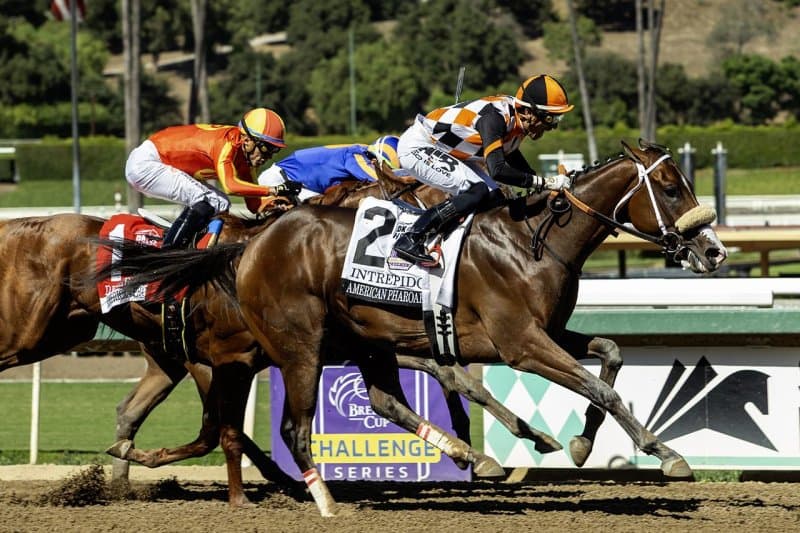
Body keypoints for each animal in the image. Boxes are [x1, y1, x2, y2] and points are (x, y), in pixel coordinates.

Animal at [103, 139, 727, 515]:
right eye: (671, 188)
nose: (714, 251)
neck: (530, 242)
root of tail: (250, 244)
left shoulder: (544, 331)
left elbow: (611, 355)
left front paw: (577, 442)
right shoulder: (519, 344)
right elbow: (594, 385)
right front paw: (664, 453)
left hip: (358, 342)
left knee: (378, 401)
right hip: (296, 346)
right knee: (276, 426)